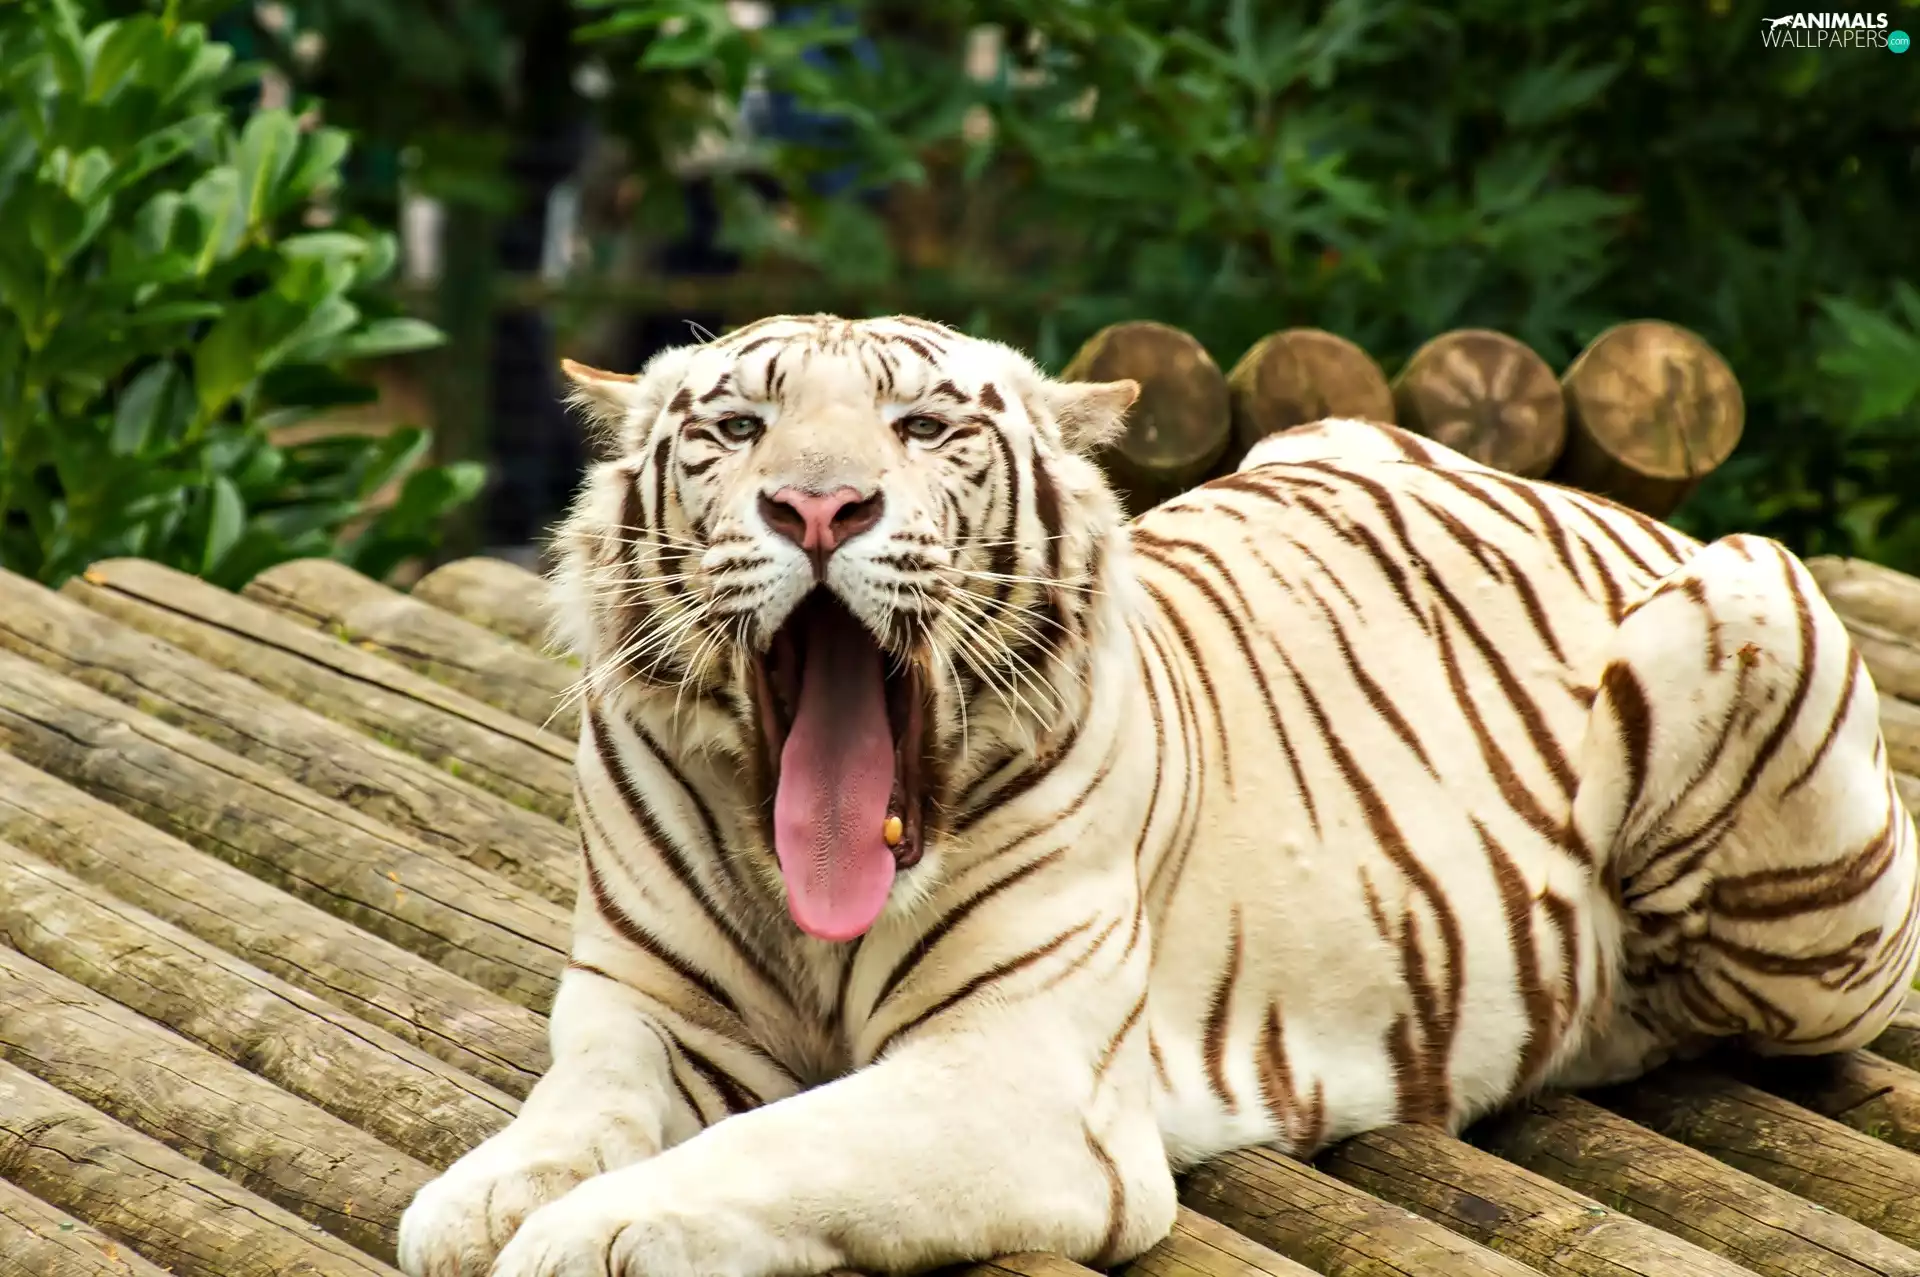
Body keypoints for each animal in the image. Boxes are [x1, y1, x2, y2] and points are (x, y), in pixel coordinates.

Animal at [397, 314, 1920, 1277]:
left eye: (922, 425)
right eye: (736, 426)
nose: (819, 507)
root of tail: (1594, 501)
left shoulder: (1017, 1080)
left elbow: (768, 1148)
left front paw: (575, 1234)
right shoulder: (649, 1004)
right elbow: (576, 1104)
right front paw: (483, 1197)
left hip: (1757, 617)